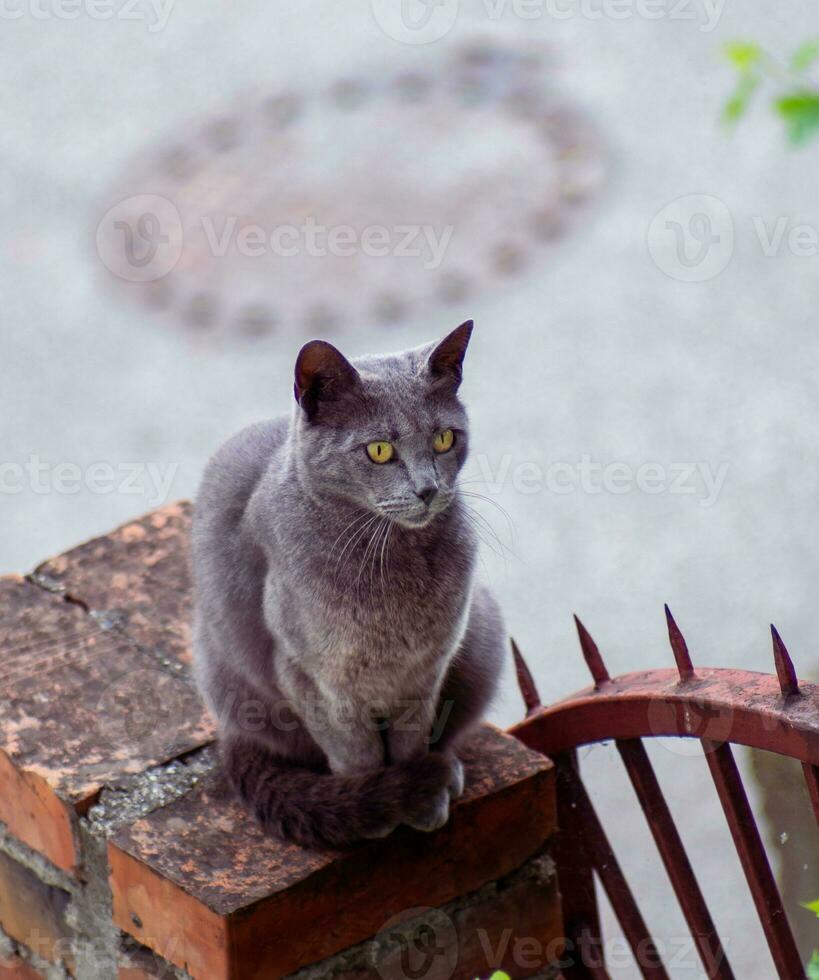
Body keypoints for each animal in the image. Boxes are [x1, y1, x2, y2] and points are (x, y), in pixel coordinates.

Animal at [192, 320, 506, 844]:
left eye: (445, 439)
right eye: (380, 450)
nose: (428, 489)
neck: (395, 560)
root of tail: (229, 734)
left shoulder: (425, 670)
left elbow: (411, 740)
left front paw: (422, 796)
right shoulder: (311, 677)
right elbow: (356, 752)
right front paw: (381, 800)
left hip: (483, 635)